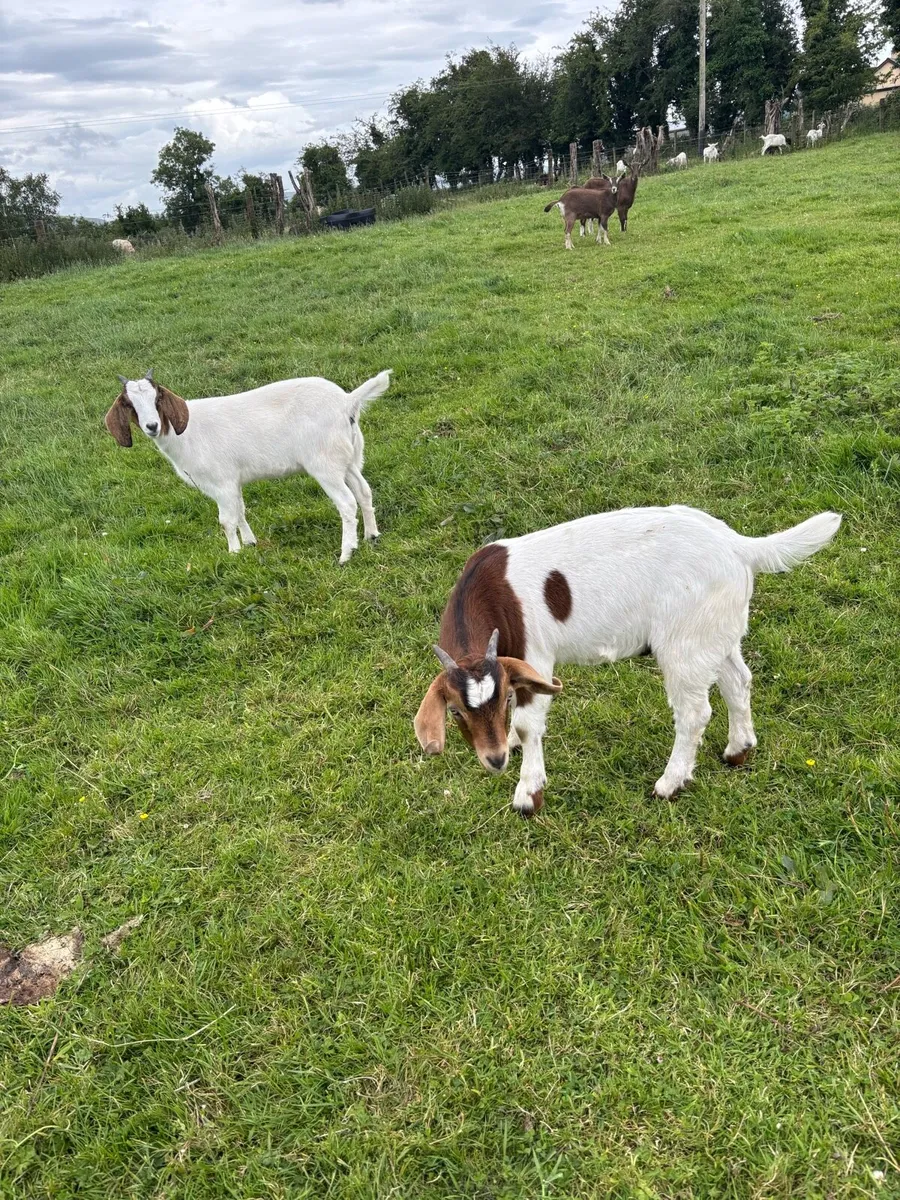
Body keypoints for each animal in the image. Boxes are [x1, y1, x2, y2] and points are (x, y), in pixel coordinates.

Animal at [104, 367, 392, 561]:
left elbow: (226, 520)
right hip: (349, 457)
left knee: (347, 502)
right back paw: (372, 536)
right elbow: (240, 511)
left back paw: (347, 553)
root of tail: (347, 401)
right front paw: (251, 544)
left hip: (325, 463)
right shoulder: (233, 482)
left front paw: (233, 552)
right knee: (364, 491)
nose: (152, 426)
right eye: (129, 404)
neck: (185, 434)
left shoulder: (221, 482)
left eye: (157, 399)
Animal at [414, 505, 841, 815]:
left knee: (694, 712)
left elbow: (527, 723)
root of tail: (739, 546)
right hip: (714, 629)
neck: (490, 592)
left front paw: (527, 795)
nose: (495, 759)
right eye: (455, 711)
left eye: (501, 699)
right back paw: (739, 750)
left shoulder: (535, 653)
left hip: (684, 640)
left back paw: (669, 784)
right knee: (738, 679)